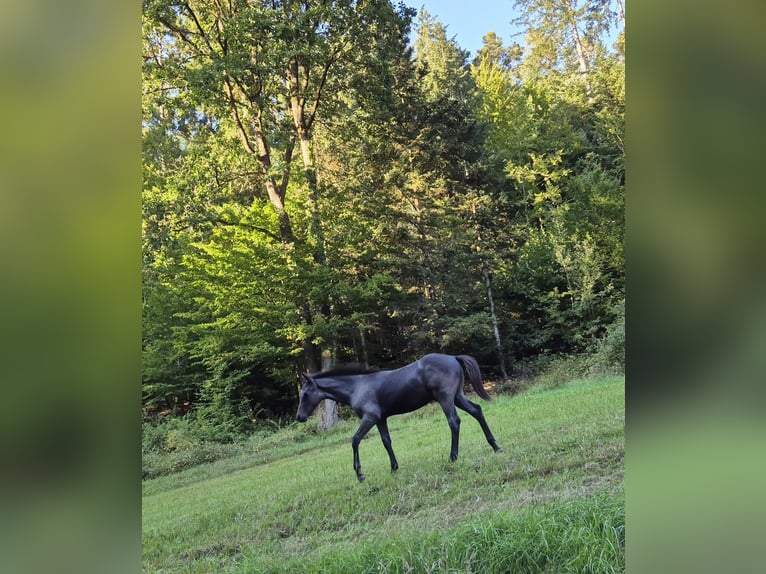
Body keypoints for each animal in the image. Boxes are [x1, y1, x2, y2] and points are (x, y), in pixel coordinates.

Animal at [295, 353, 503, 481]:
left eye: (305, 394)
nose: (300, 417)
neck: (357, 386)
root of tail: (453, 357)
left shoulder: (370, 417)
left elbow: (355, 440)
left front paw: (360, 474)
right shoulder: (381, 419)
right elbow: (386, 441)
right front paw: (393, 468)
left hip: (446, 398)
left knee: (454, 421)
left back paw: (453, 457)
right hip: (457, 396)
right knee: (477, 411)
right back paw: (496, 446)